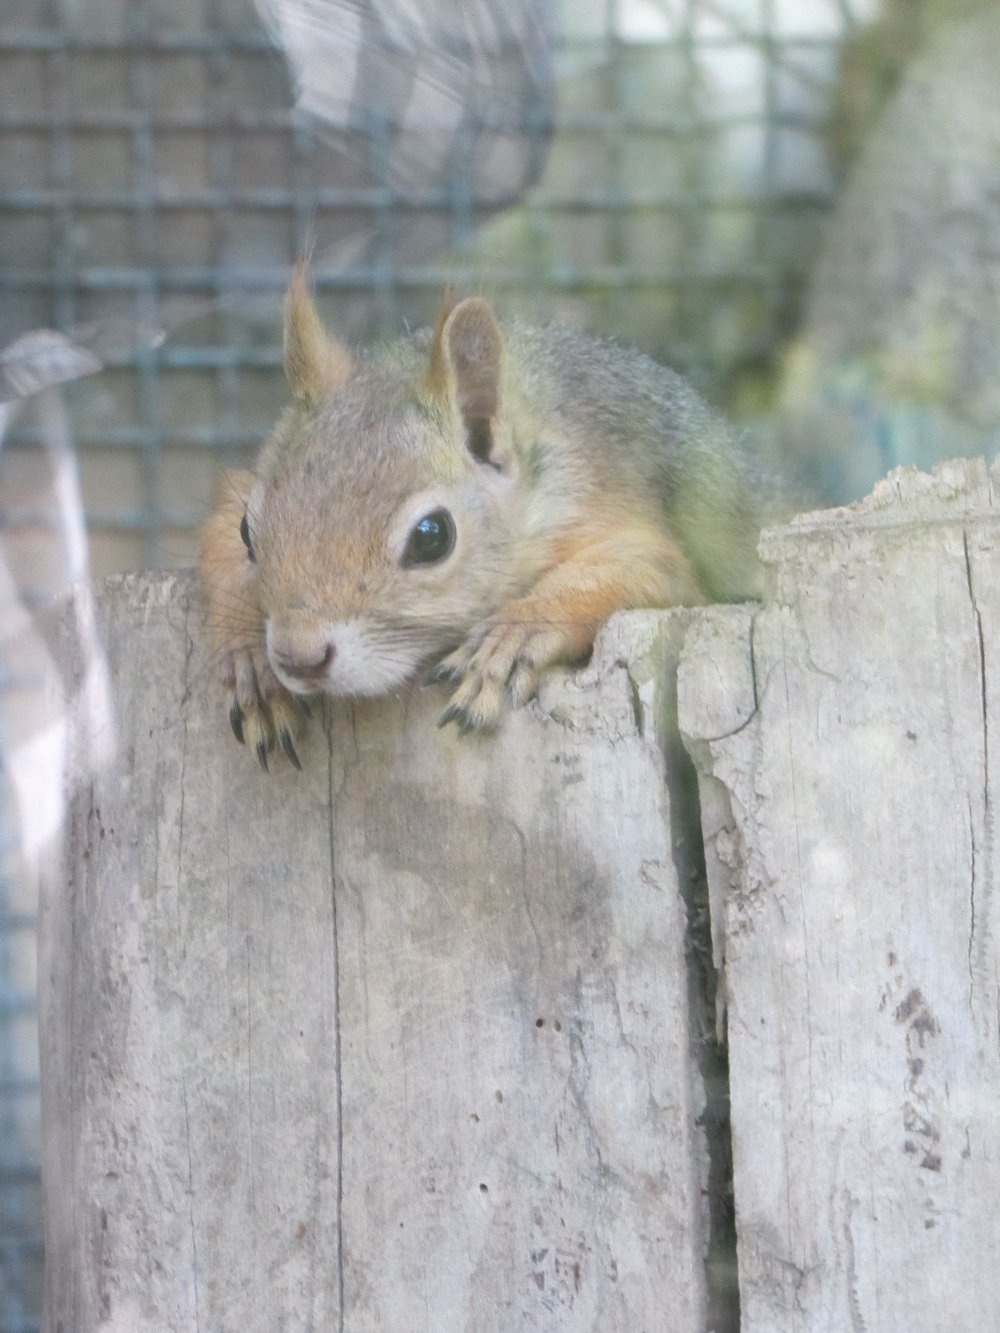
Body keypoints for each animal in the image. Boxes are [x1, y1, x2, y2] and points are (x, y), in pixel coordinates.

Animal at [200, 267, 769, 768]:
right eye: (249, 532)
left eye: (432, 537)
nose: (298, 657)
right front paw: (247, 660)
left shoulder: (617, 516)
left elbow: (649, 571)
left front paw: (512, 637)